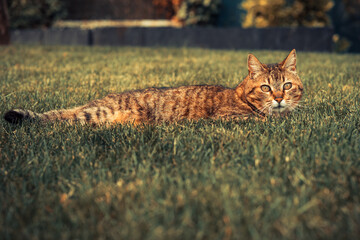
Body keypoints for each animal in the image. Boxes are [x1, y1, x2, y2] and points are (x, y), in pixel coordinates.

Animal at [3, 49, 304, 125]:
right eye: (266, 88)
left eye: (287, 85)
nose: (279, 98)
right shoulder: (228, 118)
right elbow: (263, 120)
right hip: (94, 114)